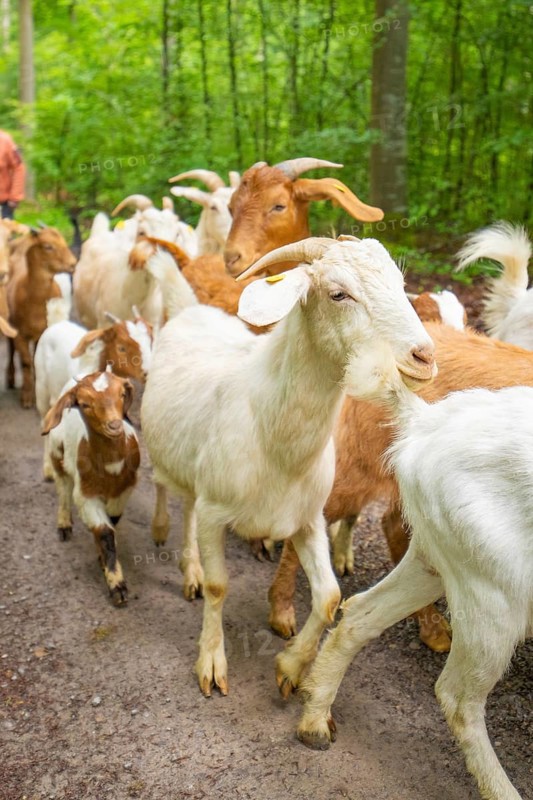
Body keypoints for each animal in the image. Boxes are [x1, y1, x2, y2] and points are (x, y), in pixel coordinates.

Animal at [6, 227, 76, 406]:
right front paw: (26, 397)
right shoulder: (19, 333)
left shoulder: (42, 332)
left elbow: (34, 359)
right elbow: (25, 361)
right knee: (10, 349)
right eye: (48, 246)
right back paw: (10, 378)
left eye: (64, 241)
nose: (73, 263)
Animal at [35, 311, 152, 480]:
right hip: (41, 389)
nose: (147, 373)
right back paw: (48, 469)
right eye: (121, 348)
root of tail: (58, 323)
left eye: (150, 342)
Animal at [42, 368, 140, 606]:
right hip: (57, 455)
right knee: (63, 490)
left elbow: (112, 521)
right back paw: (64, 525)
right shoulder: (86, 495)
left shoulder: (125, 490)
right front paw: (117, 586)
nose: (114, 425)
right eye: (85, 404)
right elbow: (105, 532)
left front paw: (103, 561)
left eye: (121, 394)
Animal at [140, 237, 435, 697]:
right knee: (167, 492)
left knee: (186, 503)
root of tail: (191, 308)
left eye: (400, 283)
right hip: (168, 460)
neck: (272, 437)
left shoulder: (307, 519)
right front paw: (211, 662)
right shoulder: (215, 513)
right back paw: (178, 554)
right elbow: (218, 585)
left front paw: (291, 667)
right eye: (338, 294)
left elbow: (329, 597)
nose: (423, 356)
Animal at [297, 345, 531, 800]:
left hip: (435, 561)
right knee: (457, 697)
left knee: (359, 614)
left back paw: (314, 721)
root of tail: (425, 422)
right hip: (494, 597)